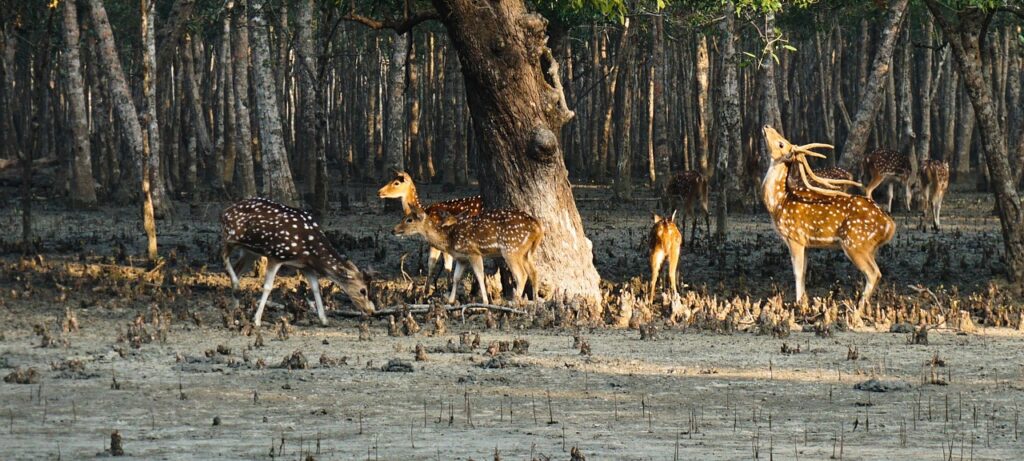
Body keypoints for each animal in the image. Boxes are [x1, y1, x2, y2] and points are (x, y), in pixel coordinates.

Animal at [220, 197, 375, 327]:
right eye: (363, 290)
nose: (371, 311)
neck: (310, 251)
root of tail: (225, 211)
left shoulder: (305, 266)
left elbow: (315, 287)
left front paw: (324, 319)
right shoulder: (276, 255)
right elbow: (268, 287)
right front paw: (256, 320)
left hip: (250, 252)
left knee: (237, 268)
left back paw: (236, 310)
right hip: (230, 237)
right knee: (223, 257)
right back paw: (237, 289)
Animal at [392, 205, 543, 305]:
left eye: (409, 219)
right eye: (404, 217)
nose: (393, 230)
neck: (449, 239)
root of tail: (538, 227)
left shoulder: (473, 252)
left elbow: (480, 275)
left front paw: (485, 301)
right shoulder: (461, 258)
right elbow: (456, 277)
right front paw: (451, 301)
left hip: (511, 249)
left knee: (521, 275)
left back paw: (515, 301)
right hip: (526, 252)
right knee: (534, 272)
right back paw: (536, 301)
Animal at [762, 126, 896, 310]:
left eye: (782, 143)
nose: (767, 126)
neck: (779, 203)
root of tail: (890, 225)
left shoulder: (795, 237)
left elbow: (797, 272)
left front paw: (799, 305)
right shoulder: (806, 243)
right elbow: (804, 271)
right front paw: (804, 302)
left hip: (855, 243)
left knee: (873, 273)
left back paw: (857, 308)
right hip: (870, 247)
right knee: (877, 273)